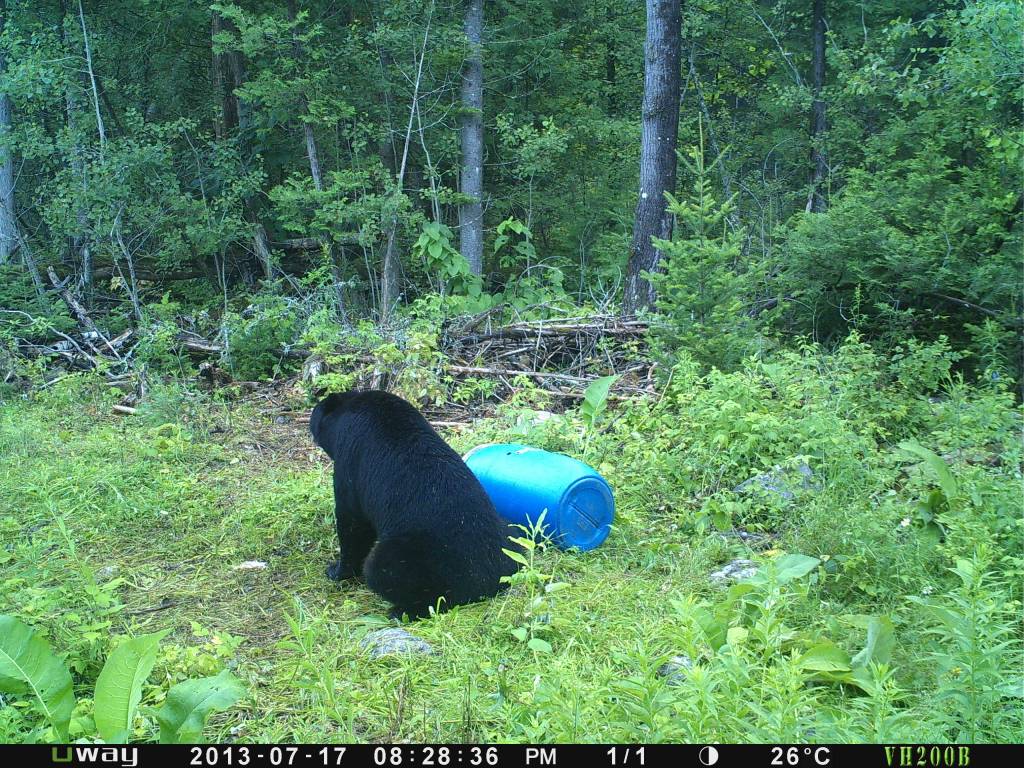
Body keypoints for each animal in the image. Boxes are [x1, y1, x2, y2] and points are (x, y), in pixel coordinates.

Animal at [309, 391, 520, 618]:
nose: (311, 417)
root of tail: (492, 578)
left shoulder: (349, 460)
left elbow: (352, 521)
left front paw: (336, 570)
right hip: (508, 531)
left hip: (424, 557)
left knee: (386, 571)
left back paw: (402, 611)